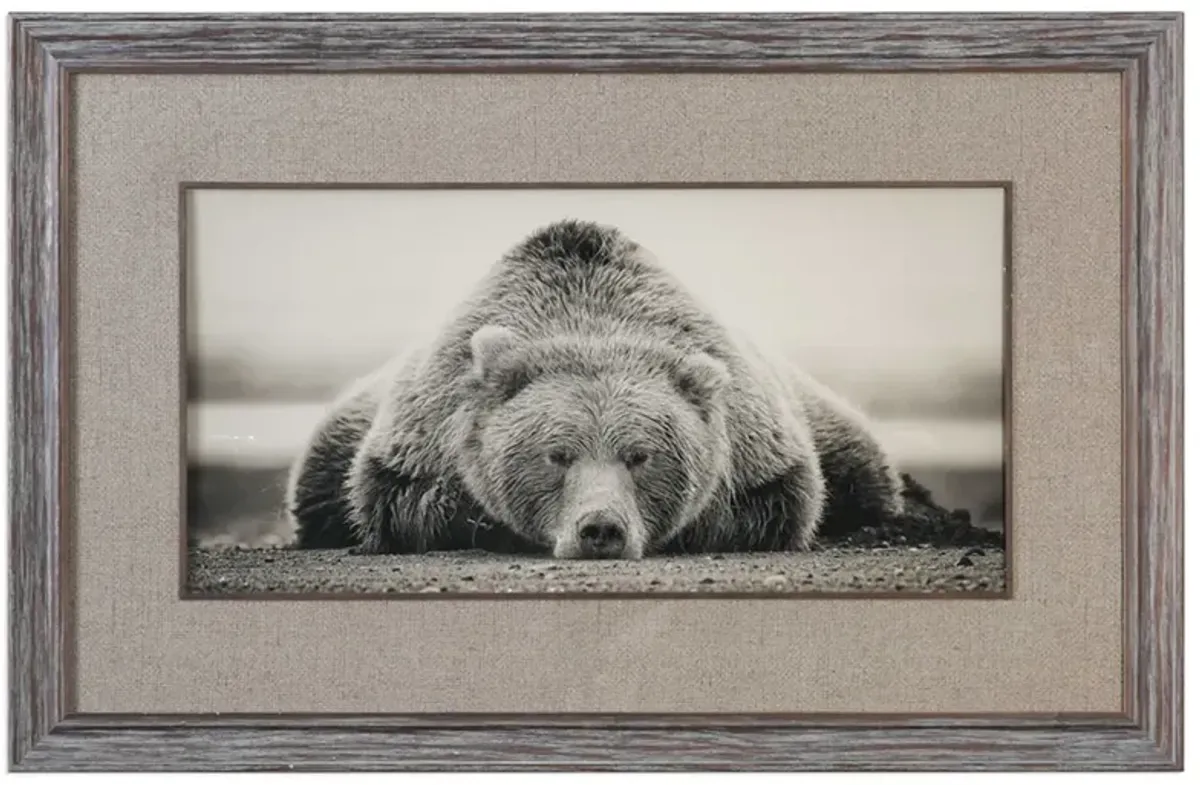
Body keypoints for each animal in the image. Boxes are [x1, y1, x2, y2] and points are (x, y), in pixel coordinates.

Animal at [284, 218, 904, 558]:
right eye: (557, 454)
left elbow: (778, 502)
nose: (600, 529)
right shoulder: (422, 432)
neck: (590, 316)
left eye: (641, 455)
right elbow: (401, 499)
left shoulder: (760, 445)